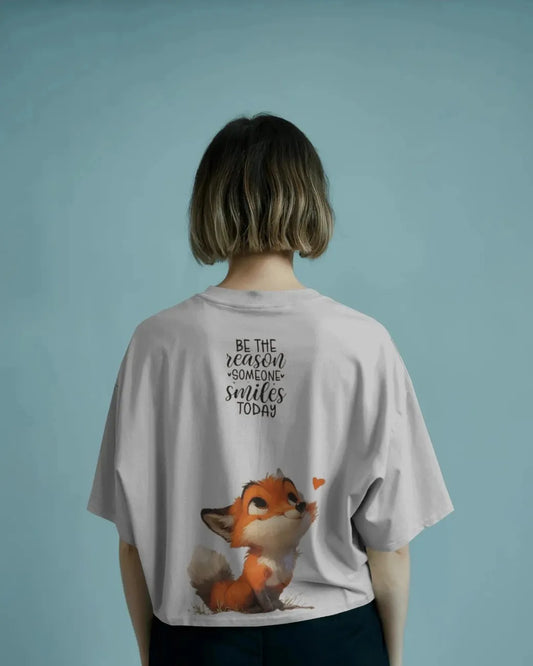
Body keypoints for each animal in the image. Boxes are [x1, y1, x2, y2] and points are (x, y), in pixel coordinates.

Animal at [187, 468, 322, 614]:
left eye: (292, 497)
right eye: (259, 503)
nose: (301, 505)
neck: (277, 560)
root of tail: (221, 593)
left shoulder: (282, 582)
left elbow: (276, 598)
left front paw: (283, 607)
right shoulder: (257, 582)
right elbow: (266, 602)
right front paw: (270, 610)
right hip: (243, 590)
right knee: (235, 608)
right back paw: (251, 610)